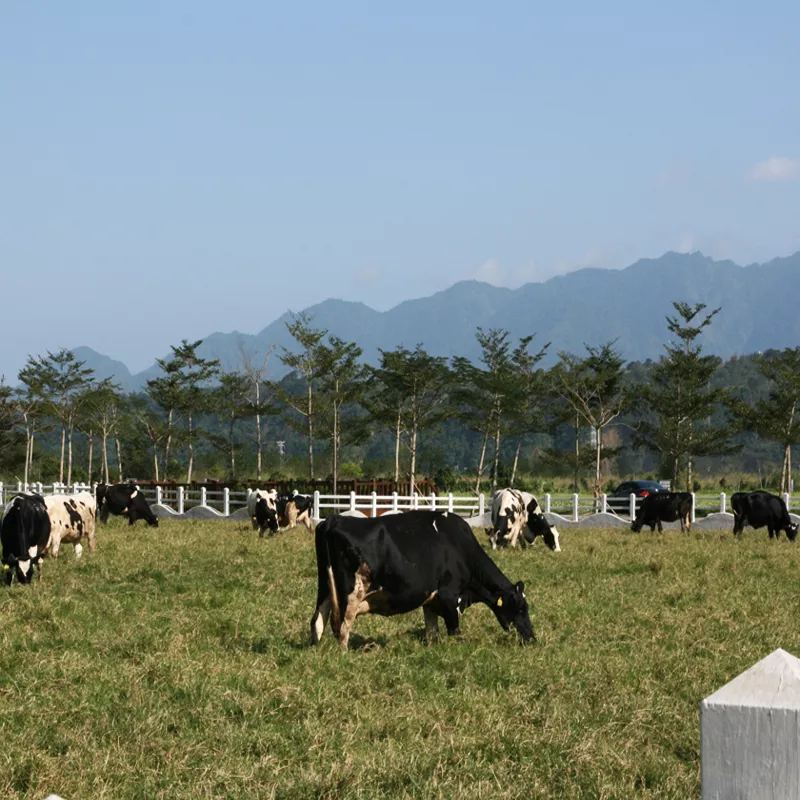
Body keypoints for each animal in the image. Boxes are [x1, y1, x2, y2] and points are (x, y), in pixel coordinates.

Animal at [310, 512, 536, 648]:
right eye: (521, 608)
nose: (532, 638)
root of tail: (333, 520)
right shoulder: (449, 597)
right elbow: (454, 631)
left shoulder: (431, 599)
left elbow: (432, 630)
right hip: (352, 595)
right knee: (343, 629)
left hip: (325, 589)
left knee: (317, 621)